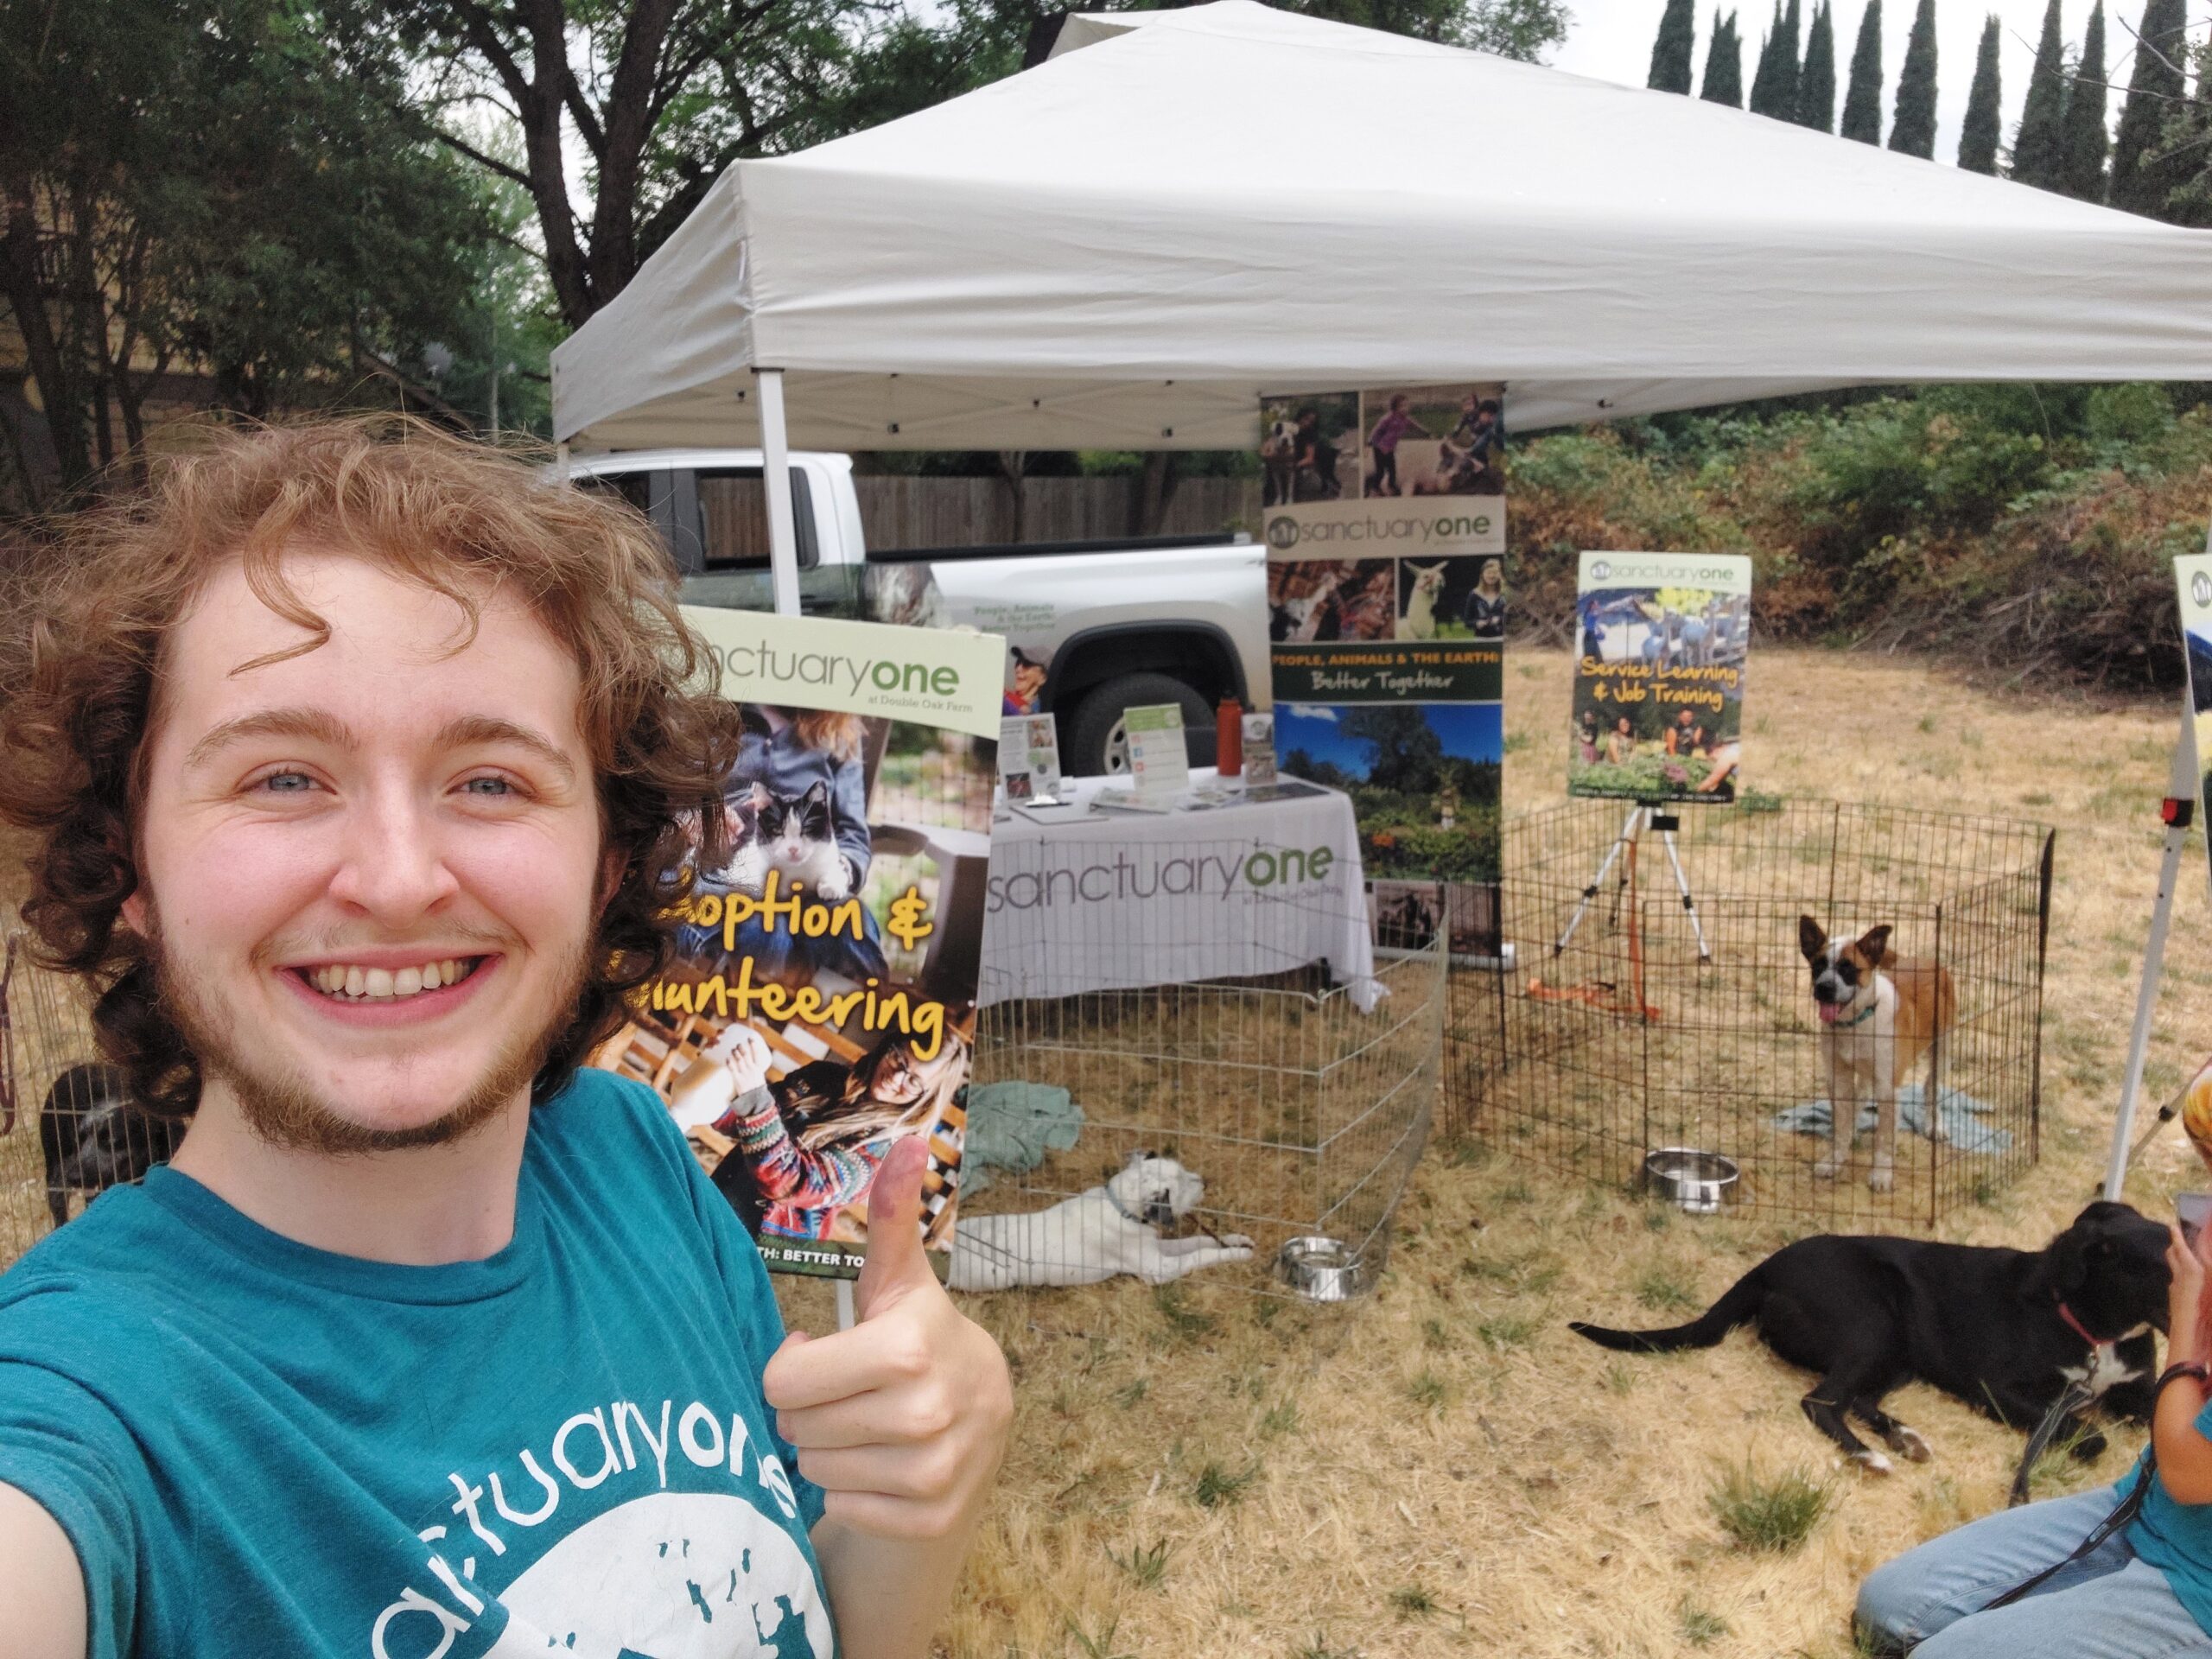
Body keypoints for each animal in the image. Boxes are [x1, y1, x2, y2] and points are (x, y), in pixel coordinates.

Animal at [950, 1159, 1265, 1300]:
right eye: (1180, 1186)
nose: (1206, 1182)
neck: (1122, 1208)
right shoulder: (1159, 1270)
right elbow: (1199, 1256)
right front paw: (1238, 1254)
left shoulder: (1155, 1247)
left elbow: (1198, 1241)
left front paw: (1234, 1240)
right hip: (997, 1276)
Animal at [1566, 1203, 2167, 1478]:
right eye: (2166, 1270)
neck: (2096, 1328)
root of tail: (1767, 1266)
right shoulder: (1996, 1387)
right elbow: (2086, 1433)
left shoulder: (2143, 1394)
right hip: (1873, 1323)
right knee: (1820, 1400)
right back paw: (1870, 1456)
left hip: (1901, 1348)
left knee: (1855, 1398)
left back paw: (1904, 1437)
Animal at [1796, 925, 1955, 1194]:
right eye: (1818, 966)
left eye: (1848, 968)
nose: (1824, 988)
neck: (1856, 1022)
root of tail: (1926, 961)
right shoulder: (1839, 1078)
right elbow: (1841, 1125)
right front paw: (1834, 1159)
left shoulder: (1888, 1089)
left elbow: (1884, 1139)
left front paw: (1881, 1175)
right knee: (1860, 1096)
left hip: (1942, 1050)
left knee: (1930, 1087)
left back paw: (1936, 1126)